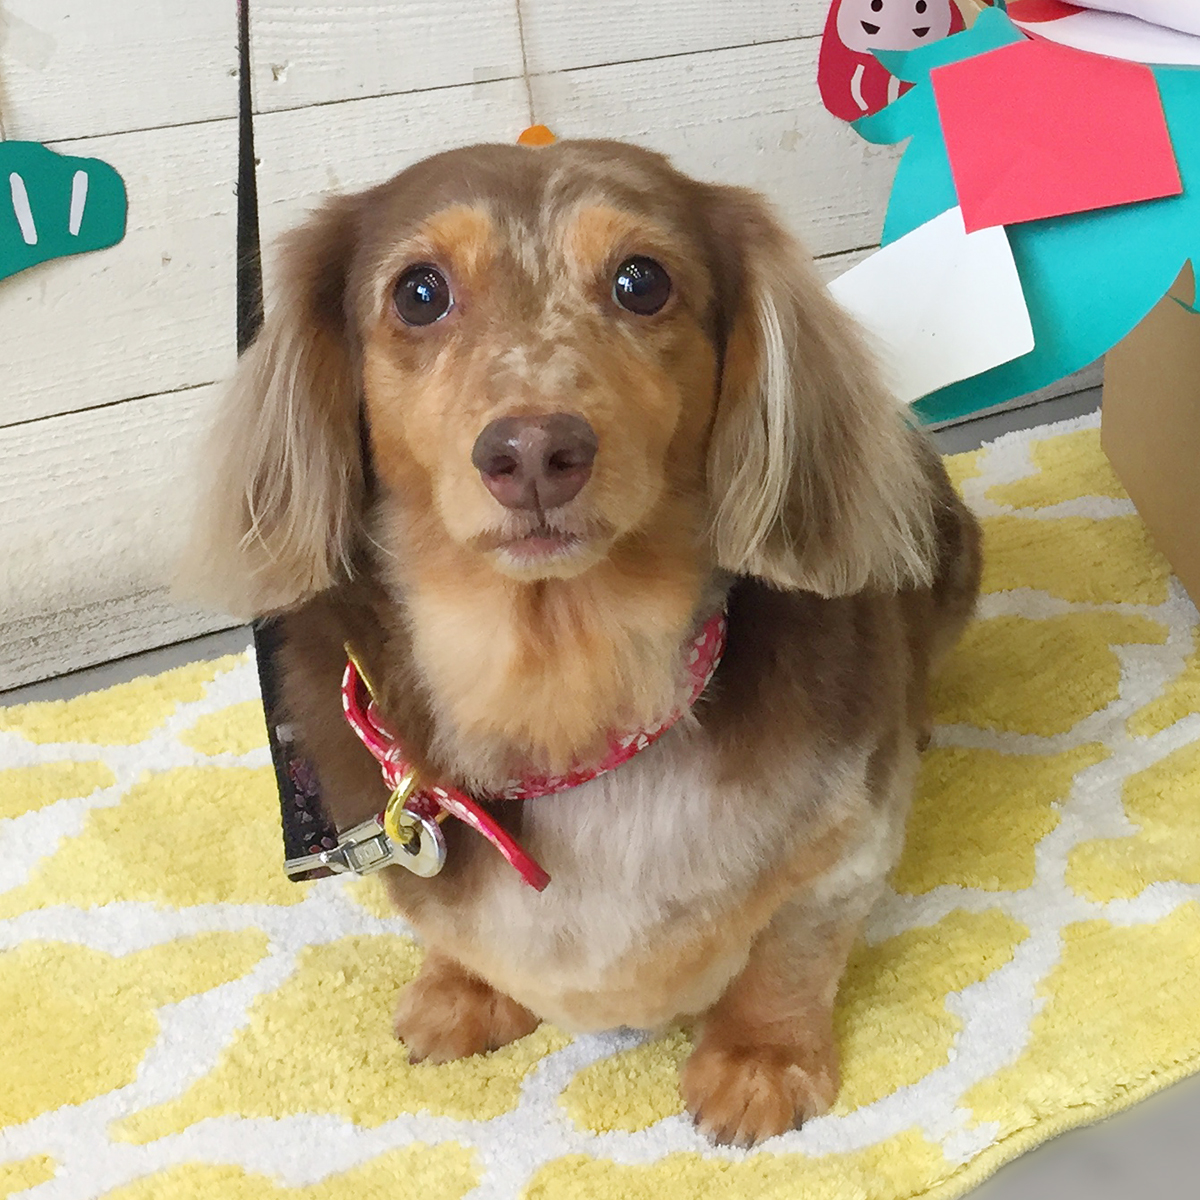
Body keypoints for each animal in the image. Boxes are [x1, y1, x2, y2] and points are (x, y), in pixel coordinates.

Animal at [185, 139, 982, 1146]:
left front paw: (759, 1060)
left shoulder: (849, 846)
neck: (563, 694)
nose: (533, 452)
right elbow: (443, 922)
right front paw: (461, 987)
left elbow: (792, 952)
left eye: (642, 281)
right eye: (418, 293)